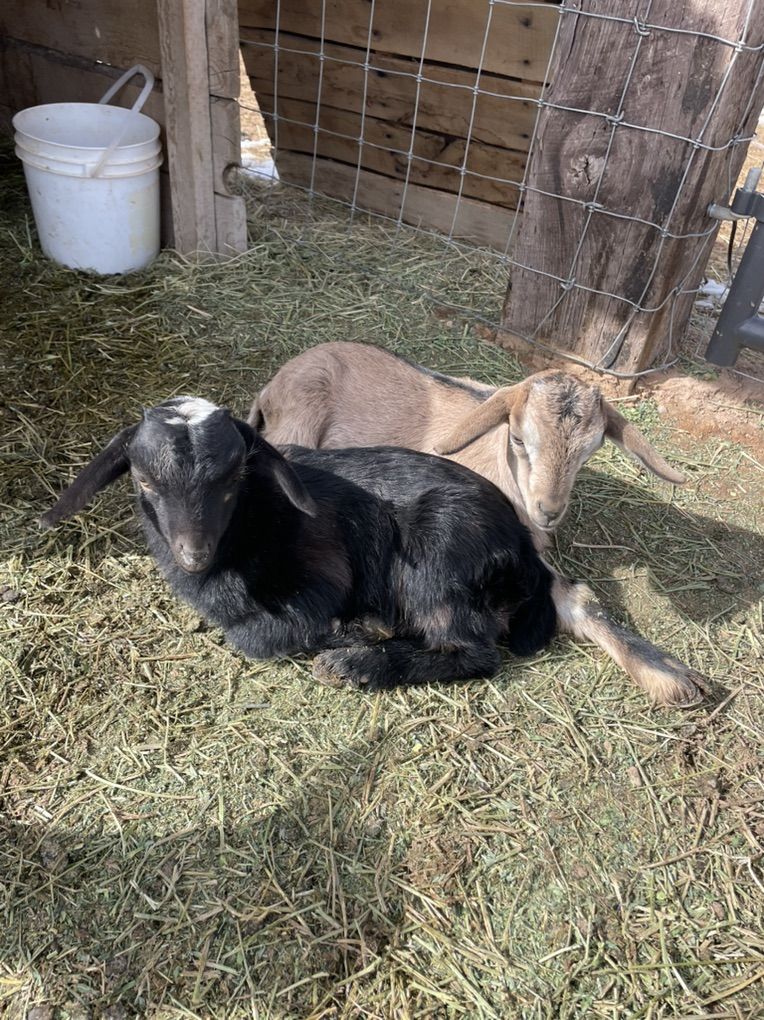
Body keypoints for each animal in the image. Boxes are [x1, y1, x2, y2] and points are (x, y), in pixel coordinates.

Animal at [40, 396, 557, 691]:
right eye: (144, 480)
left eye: (233, 479)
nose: (194, 553)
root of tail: (523, 546)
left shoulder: (324, 579)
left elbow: (260, 635)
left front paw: (360, 632)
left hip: (438, 553)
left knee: (472, 651)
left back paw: (356, 665)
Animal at [251, 343, 707, 706]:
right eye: (519, 439)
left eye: (590, 451)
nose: (549, 510)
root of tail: (278, 381)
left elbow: (579, 600)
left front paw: (668, 674)